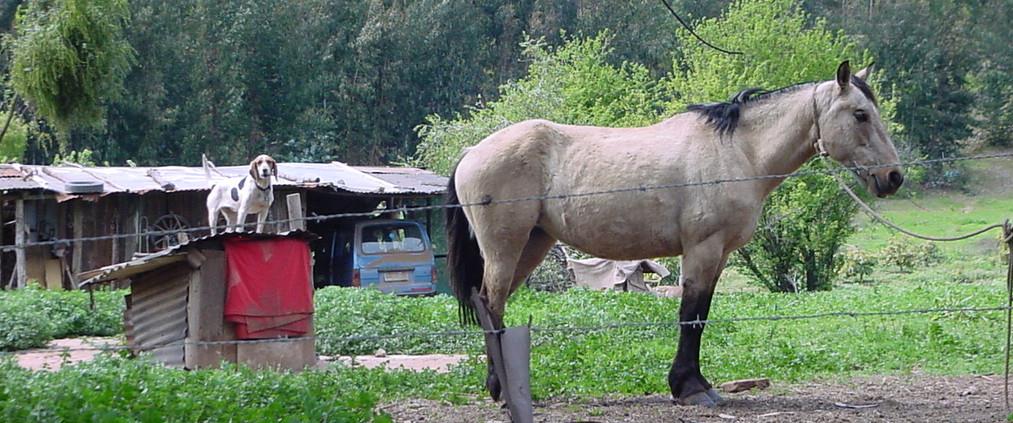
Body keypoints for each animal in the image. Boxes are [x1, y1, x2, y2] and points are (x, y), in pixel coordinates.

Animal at [445, 61, 903, 407]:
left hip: (532, 245)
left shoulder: (719, 254)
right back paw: (502, 390)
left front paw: (696, 384)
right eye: (860, 114)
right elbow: (690, 316)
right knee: (492, 306)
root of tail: (472, 152)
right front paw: (689, 389)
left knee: (490, 304)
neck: (738, 152)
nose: (893, 177)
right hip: (505, 248)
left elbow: (700, 315)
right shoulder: (702, 249)